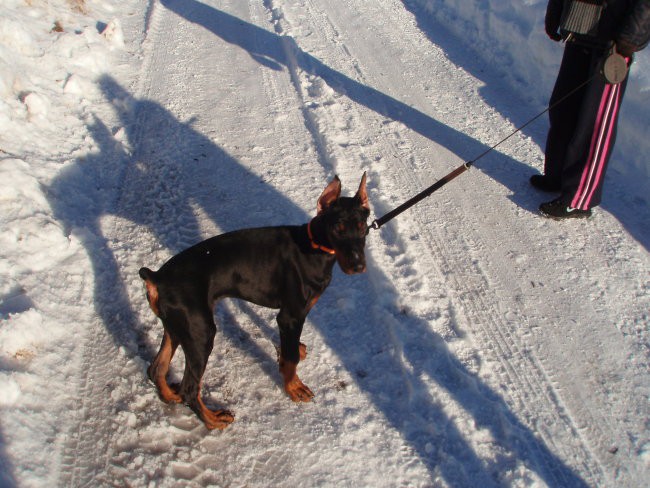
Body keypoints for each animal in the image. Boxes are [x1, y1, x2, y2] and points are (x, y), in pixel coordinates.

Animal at [139, 173, 368, 428]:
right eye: (337, 228)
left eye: (363, 228)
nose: (358, 266)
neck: (313, 246)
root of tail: (157, 278)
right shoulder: (290, 316)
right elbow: (290, 360)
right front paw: (294, 388)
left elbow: (290, 349)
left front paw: (296, 350)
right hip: (200, 331)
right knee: (189, 388)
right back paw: (213, 420)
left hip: (177, 327)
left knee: (156, 369)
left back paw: (170, 396)